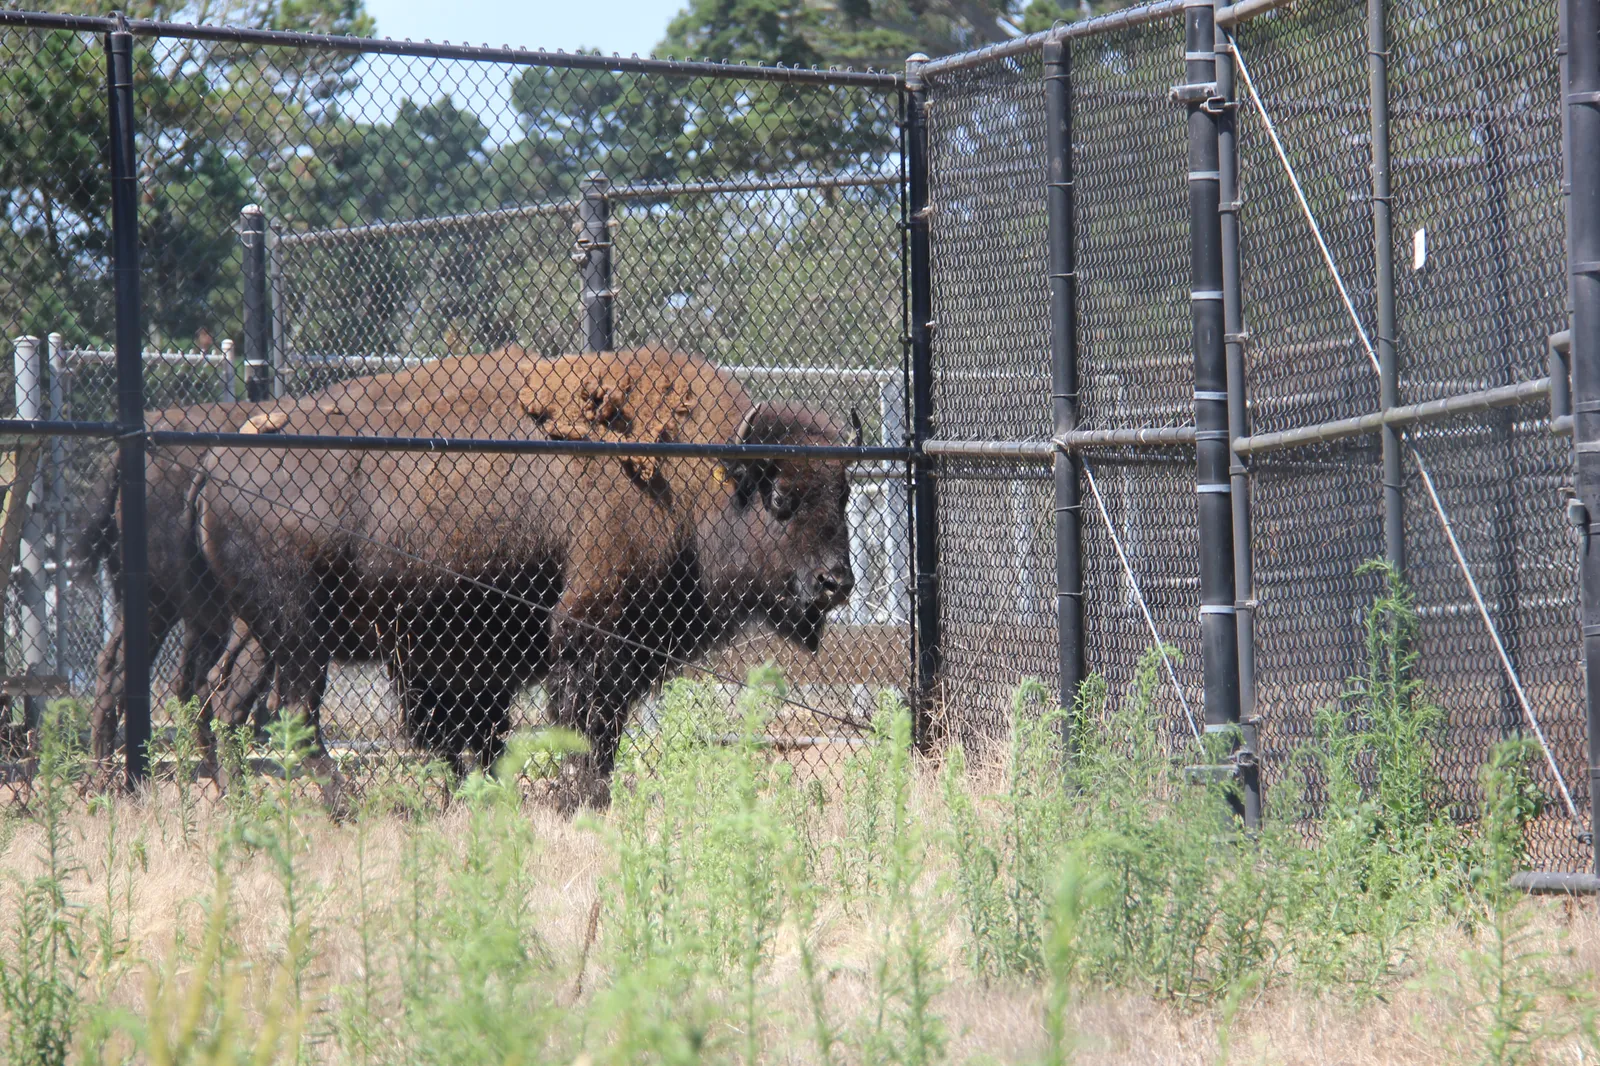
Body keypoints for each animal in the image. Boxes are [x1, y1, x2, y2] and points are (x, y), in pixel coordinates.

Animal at [189, 346, 858, 802]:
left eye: (844, 494)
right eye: (781, 497)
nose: (838, 583)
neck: (688, 477)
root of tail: (215, 466)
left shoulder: (486, 659)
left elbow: (494, 732)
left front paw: (496, 796)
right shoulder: (588, 635)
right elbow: (584, 727)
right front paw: (581, 801)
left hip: (259, 632)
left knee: (225, 698)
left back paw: (236, 801)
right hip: (299, 633)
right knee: (294, 710)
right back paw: (343, 806)